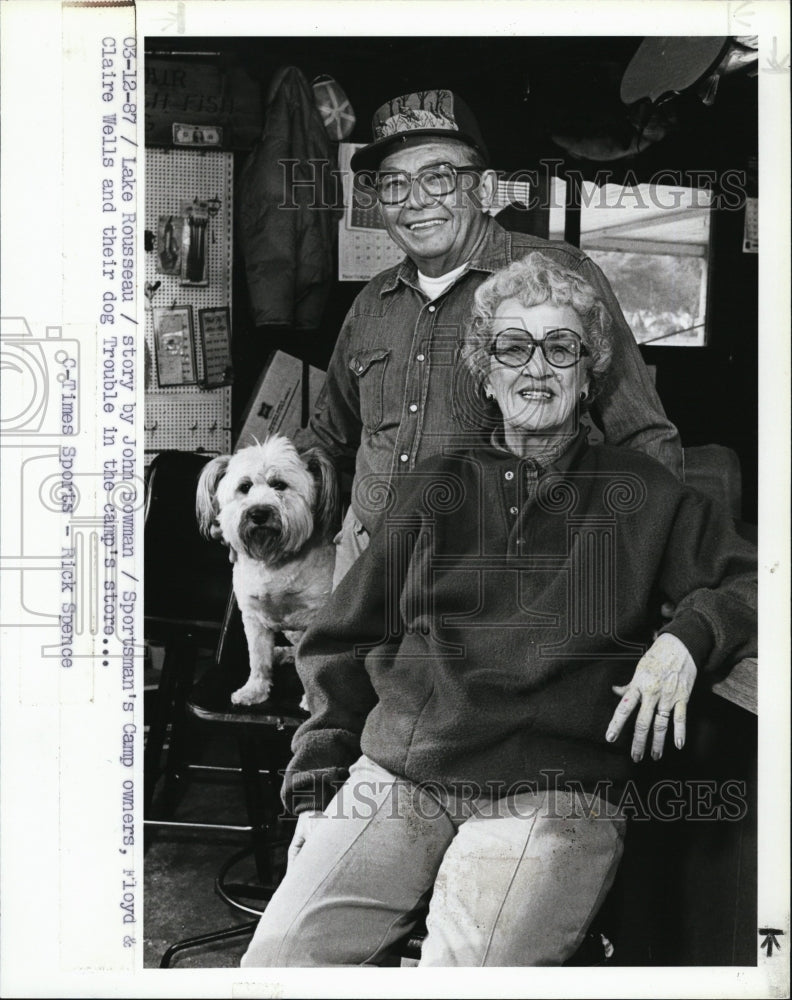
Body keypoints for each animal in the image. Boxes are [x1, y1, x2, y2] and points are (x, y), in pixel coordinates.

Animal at [196, 436, 338, 704]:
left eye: (279, 485)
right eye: (244, 487)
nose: (258, 513)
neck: (273, 560)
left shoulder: (317, 618)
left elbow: (314, 661)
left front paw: (312, 699)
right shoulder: (253, 619)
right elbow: (258, 659)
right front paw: (254, 689)